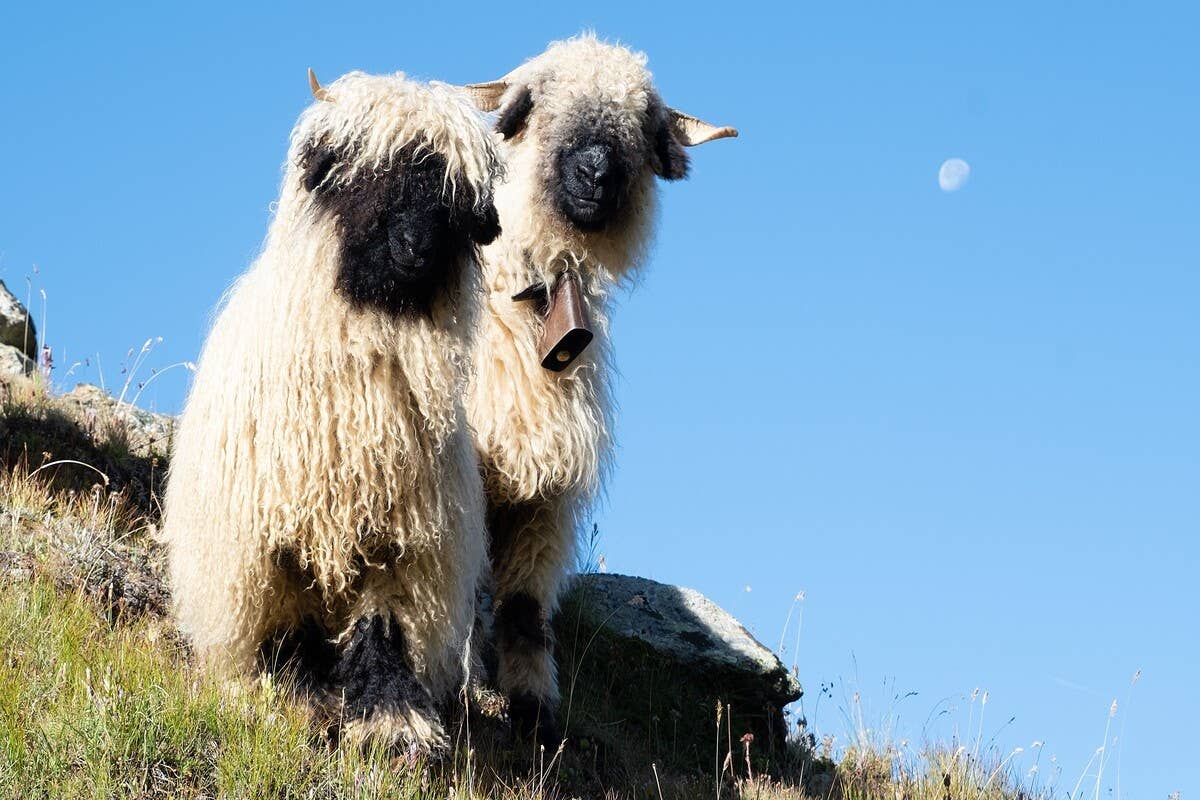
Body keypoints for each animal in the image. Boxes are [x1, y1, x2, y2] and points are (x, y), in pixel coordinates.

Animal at [163, 69, 502, 752]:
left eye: (454, 203)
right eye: (363, 177)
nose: (415, 248)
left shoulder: (402, 539)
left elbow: (385, 624)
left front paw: (391, 723)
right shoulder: (272, 538)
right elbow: (282, 623)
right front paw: (289, 699)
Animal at [459, 34, 737, 740]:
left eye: (643, 122)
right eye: (535, 100)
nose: (595, 172)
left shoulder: (547, 503)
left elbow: (524, 611)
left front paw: (533, 708)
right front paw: (469, 690)